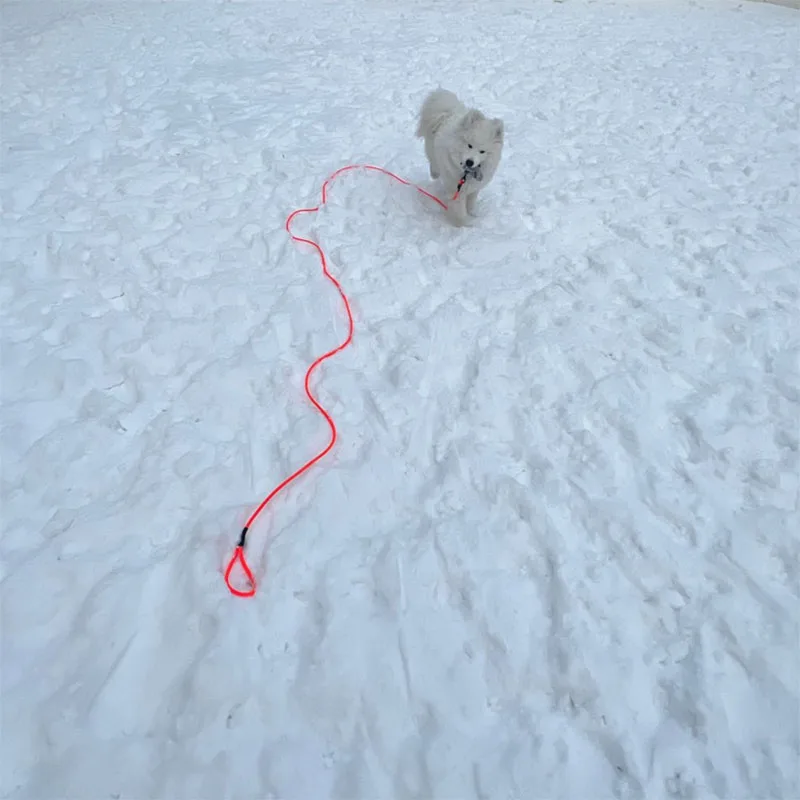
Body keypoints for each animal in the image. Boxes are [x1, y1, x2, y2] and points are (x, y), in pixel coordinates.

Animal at [416, 91, 504, 228]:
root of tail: (448, 112)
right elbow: (460, 212)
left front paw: (472, 214)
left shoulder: (474, 189)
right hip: (433, 152)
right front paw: (465, 225)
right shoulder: (457, 191)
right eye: (469, 145)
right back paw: (434, 173)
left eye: (482, 151)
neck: (466, 173)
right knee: (434, 164)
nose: (470, 161)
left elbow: (471, 203)